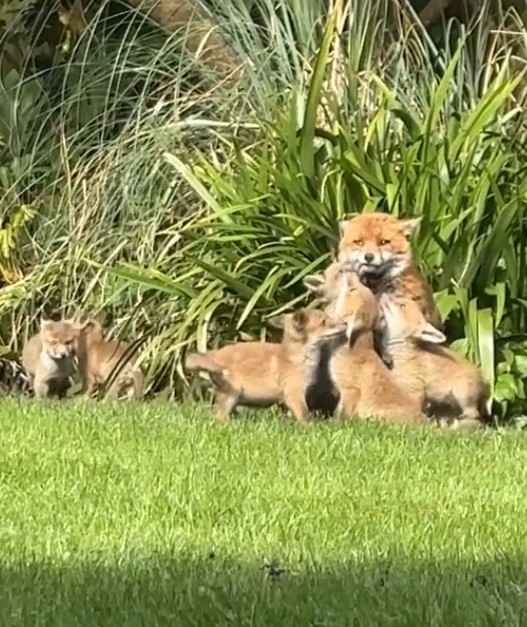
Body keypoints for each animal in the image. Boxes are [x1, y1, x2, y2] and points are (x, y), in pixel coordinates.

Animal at [185, 310, 346, 422]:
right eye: (325, 322)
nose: (345, 323)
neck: (297, 357)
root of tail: (214, 354)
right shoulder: (293, 394)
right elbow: (304, 415)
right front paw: (310, 427)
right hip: (231, 394)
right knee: (219, 416)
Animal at [380, 296, 490, 430]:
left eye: (402, 305)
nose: (384, 295)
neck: (403, 356)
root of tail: (485, 383)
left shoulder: (415, 392)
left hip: (462, 394)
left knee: (473, 417)